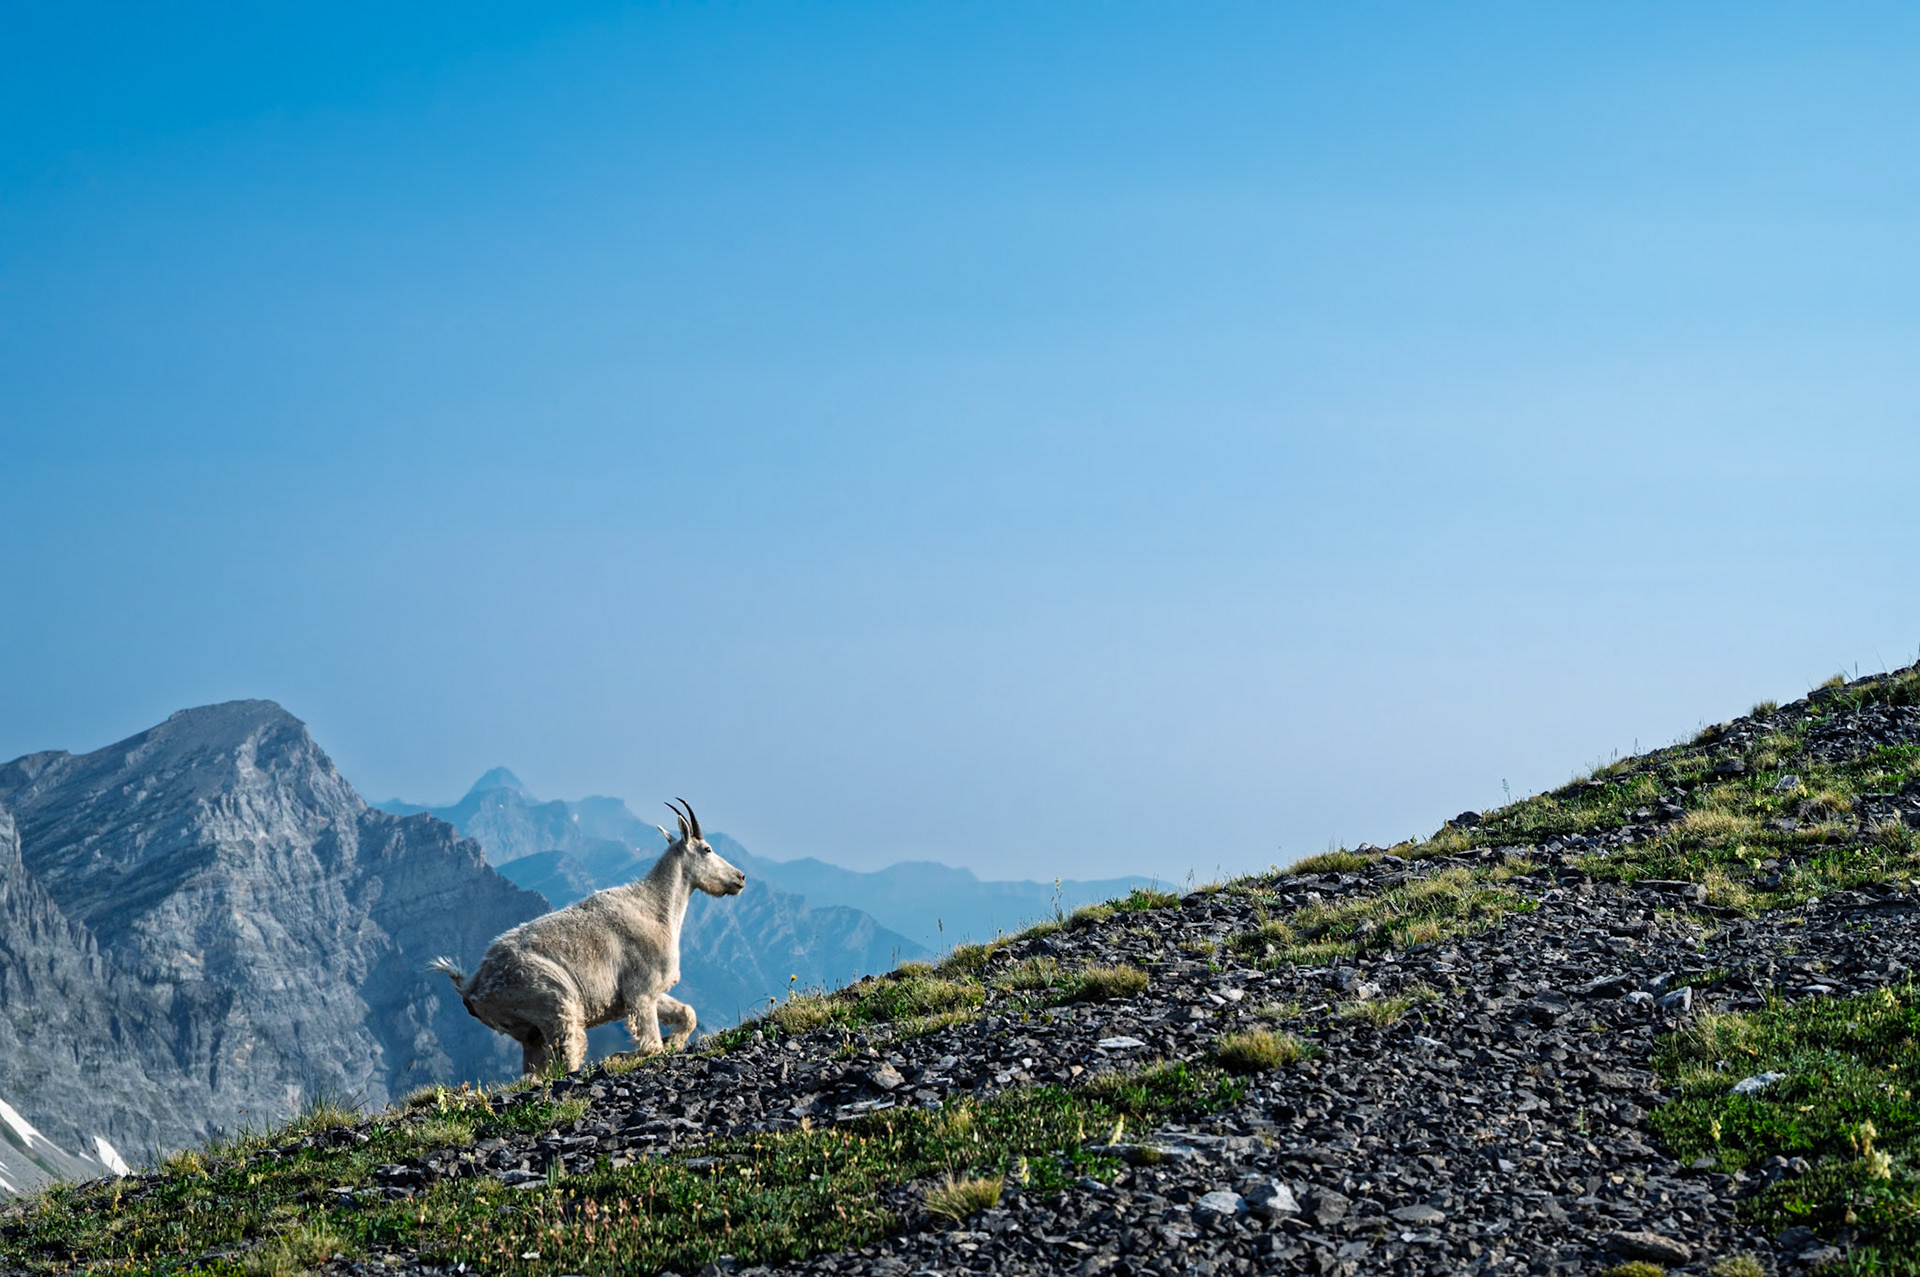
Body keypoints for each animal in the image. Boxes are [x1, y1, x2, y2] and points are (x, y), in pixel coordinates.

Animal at [430, 798, 746, 1074]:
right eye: (707, 849)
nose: (740, 877)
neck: (656, 908)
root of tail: (472, 986)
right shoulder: (640, 991)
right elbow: (650, 1046)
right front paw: (620, 1056)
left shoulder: (648, 993)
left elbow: (687, 1013)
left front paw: (672, 1041)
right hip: (554, 1001)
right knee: (567, 1055)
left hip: (529, 1031)